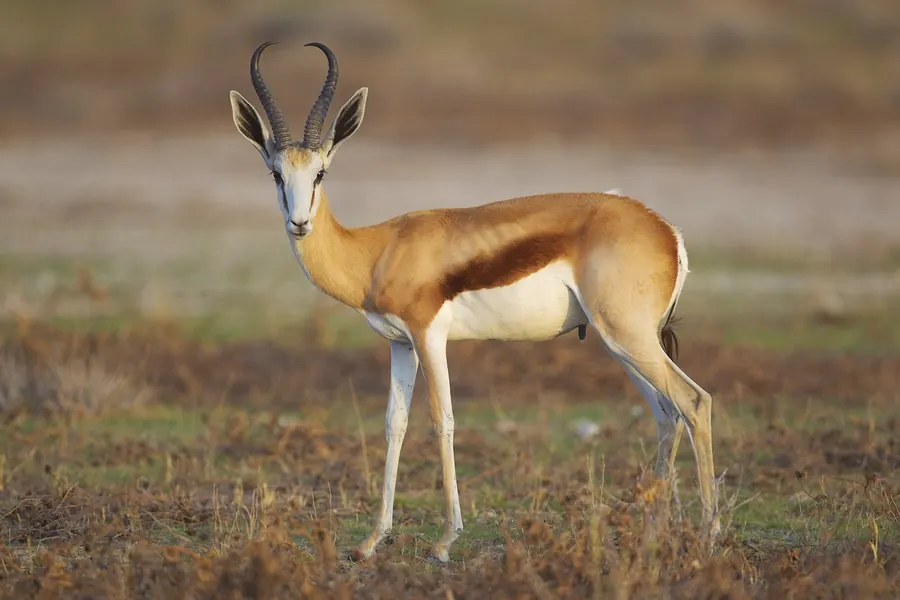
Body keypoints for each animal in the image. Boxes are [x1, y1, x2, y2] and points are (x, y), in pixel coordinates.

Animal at [229, 41, 719, 564]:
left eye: (320, 172)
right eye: (275, 173)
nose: (299, 223)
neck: (378, 250)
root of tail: (665, 230)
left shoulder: (429, 335)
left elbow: (441, 420)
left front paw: (445, 541)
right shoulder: (400, 344)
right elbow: (395, 424)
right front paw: (371, 541)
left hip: (627, 337)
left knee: (693, 401)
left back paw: (707, 538)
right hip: (621, 344)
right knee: (666, 414)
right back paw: (652, 535)